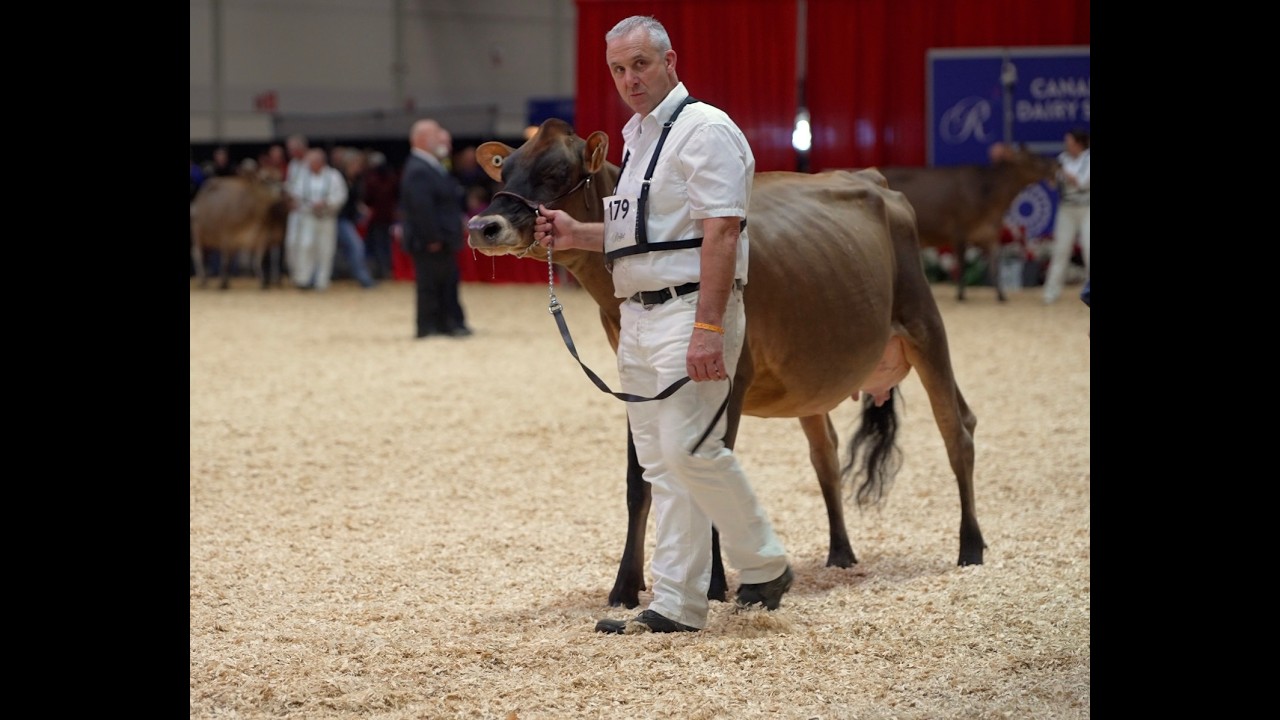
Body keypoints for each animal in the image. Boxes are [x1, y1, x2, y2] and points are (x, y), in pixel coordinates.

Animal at [466, 118, 985, 609]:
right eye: (505, 171)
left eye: (555, 173)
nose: (482, 226)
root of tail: (874, 178)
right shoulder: (636, 384)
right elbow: (639, 482)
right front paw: (625, 587)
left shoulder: (731, 379)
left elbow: (708, 472)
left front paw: (713, 586)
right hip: (813, 376)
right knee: (826, 453)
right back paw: (840, 552)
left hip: (924, 324)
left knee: (956, 428)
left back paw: (971, 548)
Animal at [878, 143, 1058, 302]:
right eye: (1033, 158)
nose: (1056, 164)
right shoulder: (959, 231)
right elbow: (962, 265)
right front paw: (961, 295)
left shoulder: (991, 234)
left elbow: (995, 267)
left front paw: (1001, 296)